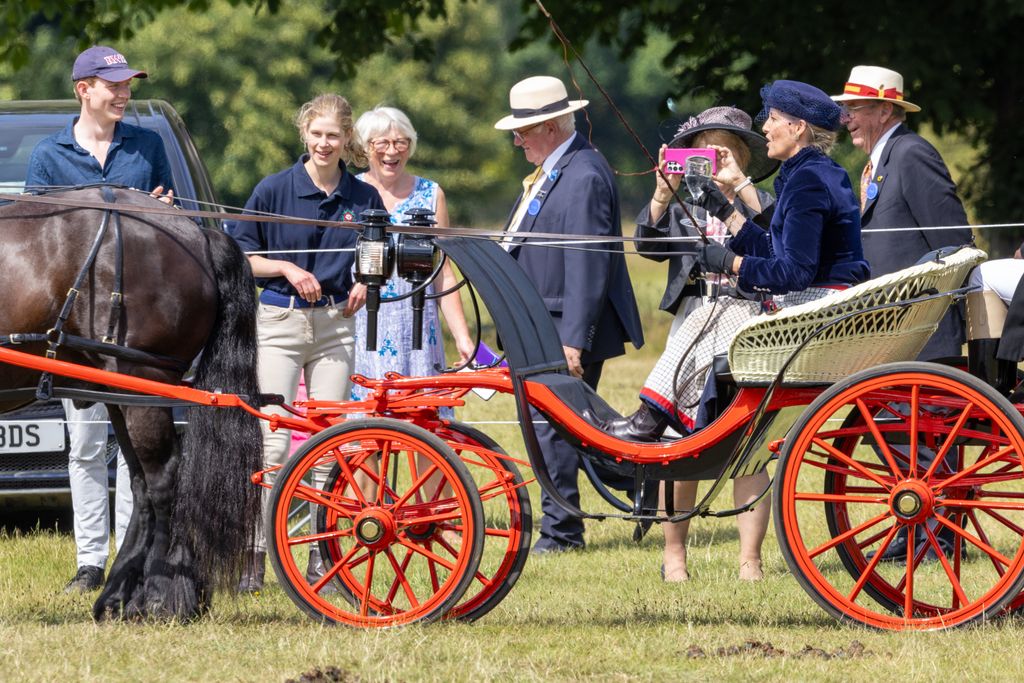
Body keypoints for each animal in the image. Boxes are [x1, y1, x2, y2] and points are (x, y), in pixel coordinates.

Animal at [1, 187, 264, 618]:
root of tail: (196, 234)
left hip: (144, 382)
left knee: (164, 480)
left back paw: (161, 596)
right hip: (119, 394)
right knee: (141, 485)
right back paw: (121, 594)